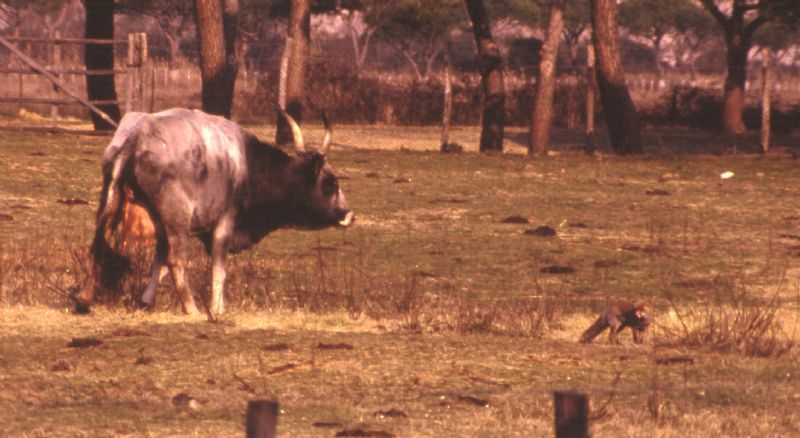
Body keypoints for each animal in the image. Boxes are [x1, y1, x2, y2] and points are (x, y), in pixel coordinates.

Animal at [73, 106, 354, 318]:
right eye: (331, 182)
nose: (348, 214)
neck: (248, 164)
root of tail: (137, 136)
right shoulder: (224, 224)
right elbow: (218, 268)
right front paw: (217, 309)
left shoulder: (163, 228)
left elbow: (158, 265)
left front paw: (145, 300)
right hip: (178, 219)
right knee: (177, 261)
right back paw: (192, 308)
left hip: (110, 202)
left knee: (97, 246)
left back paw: (84, 298)